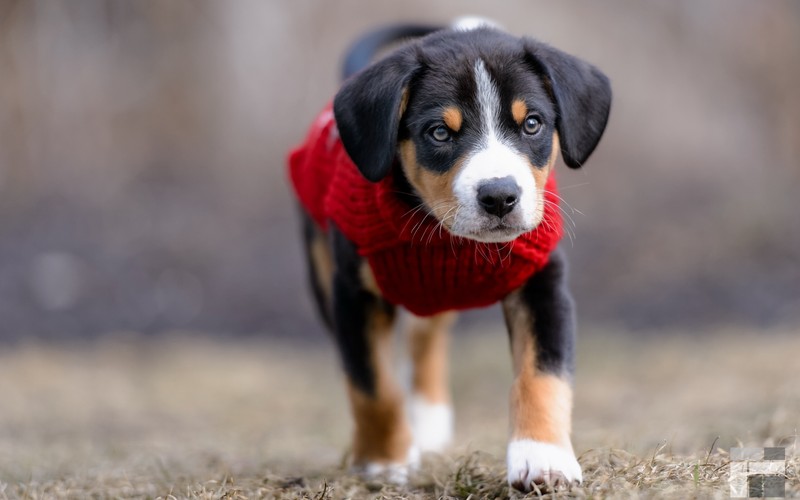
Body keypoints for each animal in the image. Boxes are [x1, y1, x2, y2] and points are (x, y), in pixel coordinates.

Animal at [290, 20, 608, 492]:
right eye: (439, 132)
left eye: (532, 124)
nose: (499, 196)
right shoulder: (353, 295)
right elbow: (372, 384)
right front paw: (384, 462)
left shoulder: (543, 285)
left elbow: (542, 375)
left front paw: (543, 459)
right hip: (323, 271)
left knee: (426, 340)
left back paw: (429, 424)